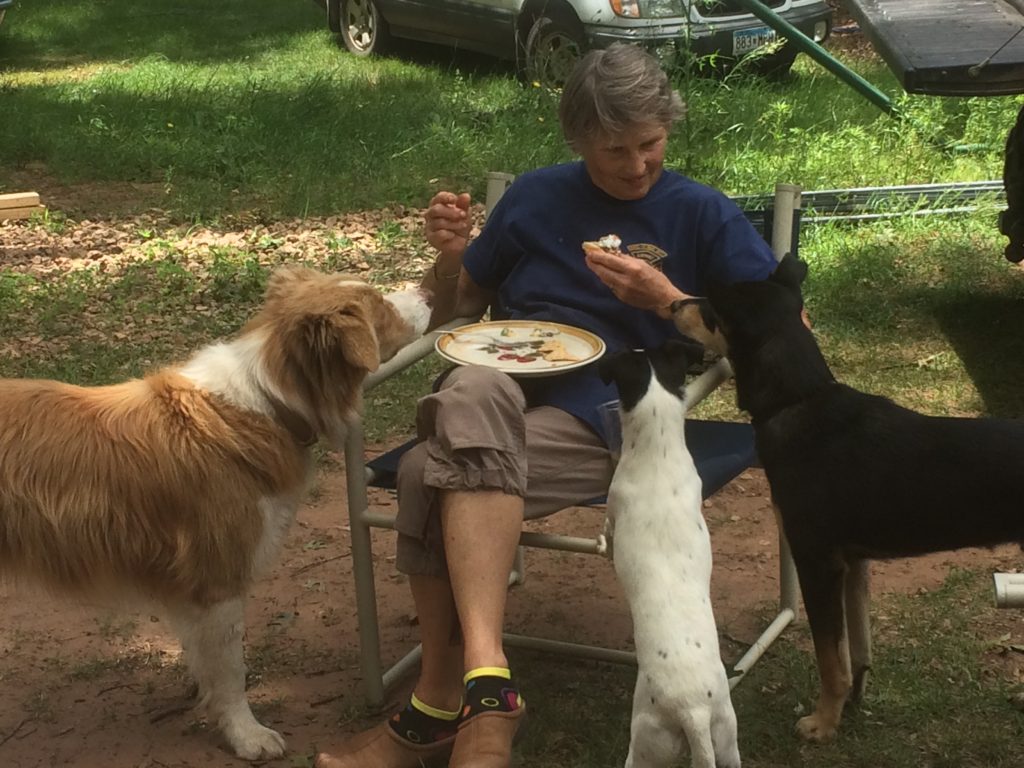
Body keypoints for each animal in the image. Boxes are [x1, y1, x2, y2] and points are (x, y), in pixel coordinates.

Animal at [0, 268, 430, 761]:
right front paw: (246, 735)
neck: (269, 402)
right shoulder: (219, 579)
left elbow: (204, 660)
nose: (427, 290)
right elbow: (231, 671)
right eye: (379, 304)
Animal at [598, 342, 741, 768]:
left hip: (646, 742)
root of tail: (693, 710)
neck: (657, 453)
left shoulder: (613, 508)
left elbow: (607, 532)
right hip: (727, 739)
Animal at [671, 257, 1024, 745]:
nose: (672, 304)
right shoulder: (855, 563)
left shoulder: (818, 563)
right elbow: (857, 650)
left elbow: (828, 658)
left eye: (710, 308)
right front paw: (852, 705)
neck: (798, 400)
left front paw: (822, 724)